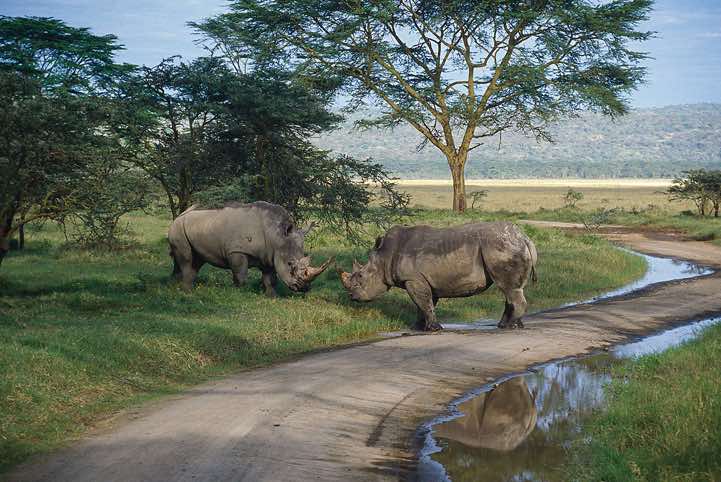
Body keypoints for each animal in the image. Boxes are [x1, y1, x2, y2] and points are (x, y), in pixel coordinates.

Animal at [168, 201, 332, 294]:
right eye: (290, 264)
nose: (303, 288)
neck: (276, 235)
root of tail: (180, 215)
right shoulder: (237, 250)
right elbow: (241, 274)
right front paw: (241, 293)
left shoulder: (270, 254)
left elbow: (270, 277)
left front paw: (271, 296)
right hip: (178, 227)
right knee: (187, 259)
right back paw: (187, 291)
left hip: (195, 227)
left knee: (196, 261)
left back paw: (181, 286)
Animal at [338, 222, 537, 330]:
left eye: (360, 276)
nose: (352, 297)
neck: (383, 258)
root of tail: (524, 238)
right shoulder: (422, 280)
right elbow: (424, 304)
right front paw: (418, 328)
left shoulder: (413, 279)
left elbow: (424, 303)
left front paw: (433, 329)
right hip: (506, 247)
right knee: (512, 290)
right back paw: (508, 325)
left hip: (501, 248)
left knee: (509, 288)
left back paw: (509, 326)